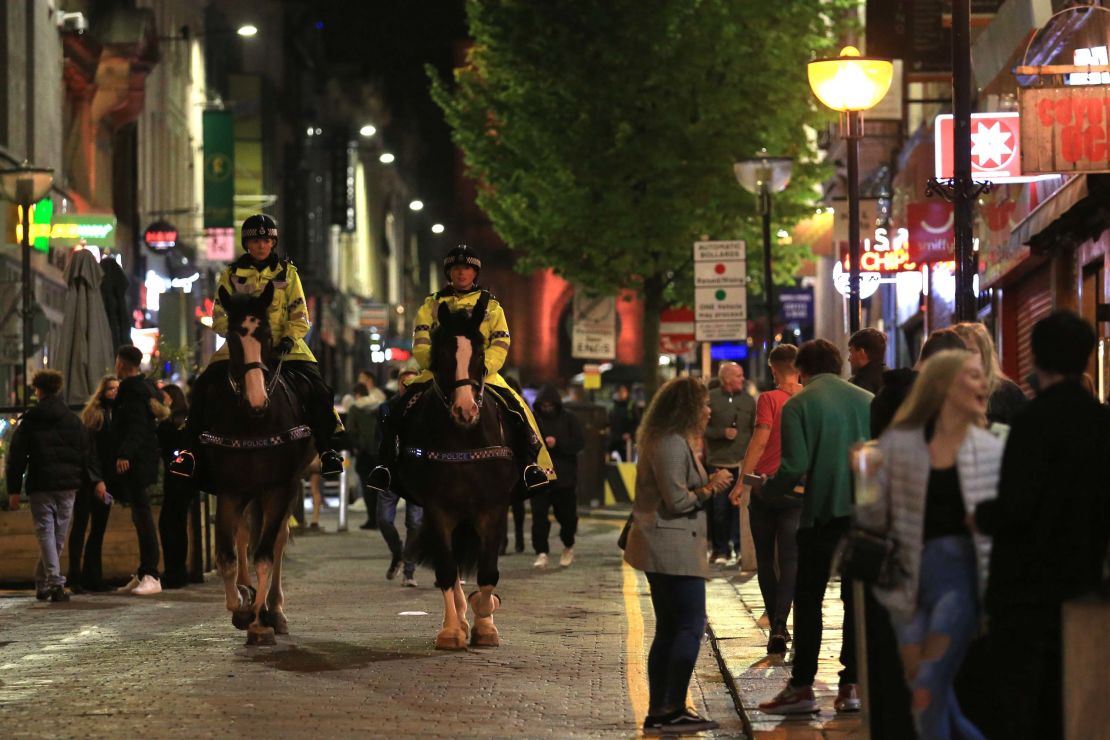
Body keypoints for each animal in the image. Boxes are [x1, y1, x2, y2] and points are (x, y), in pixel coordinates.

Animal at [202, 284, 317, 647]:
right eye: (232, 338)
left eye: (266, 336)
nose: (256, 401)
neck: (254, 423)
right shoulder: (229, 490)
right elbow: (227, 556)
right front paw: (241, 604)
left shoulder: (281, 488)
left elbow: (266, 555)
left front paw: (259, 617)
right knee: (243, 537)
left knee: (276, 540)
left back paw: (274, 610)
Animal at [397, 295, 517, 647]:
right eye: (443, 356)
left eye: (479, 353)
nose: (465, 410)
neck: (464, 437)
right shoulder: (438, 509)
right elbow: (448, 571)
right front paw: (452, 629)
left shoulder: (494, 508)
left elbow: (488, 571)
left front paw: (486, 622)